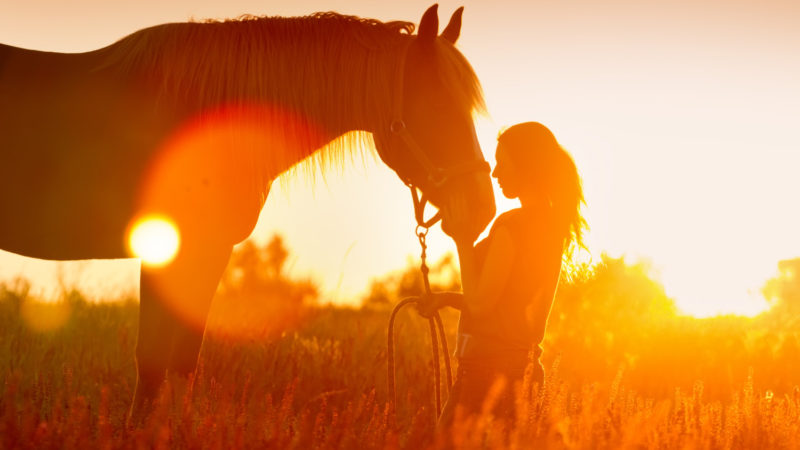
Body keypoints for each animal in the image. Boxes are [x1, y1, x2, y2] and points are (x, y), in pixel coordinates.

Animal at [0, 4, 494, 418]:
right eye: (436, 106)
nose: (482, 208)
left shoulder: (206, 252)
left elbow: (182, 363)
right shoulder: (173, 250)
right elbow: (154, 361)